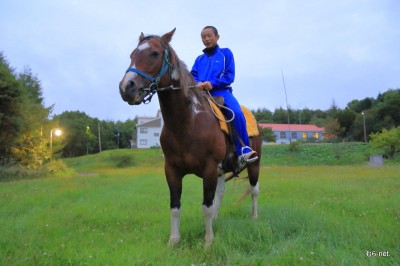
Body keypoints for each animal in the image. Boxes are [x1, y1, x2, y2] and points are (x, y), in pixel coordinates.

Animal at [119, 28, 262, 246]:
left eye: (154, 53)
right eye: (132, 55)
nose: (127, 87)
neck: (187, 124)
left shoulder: (209, 169)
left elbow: (206, 206)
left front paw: (208, 241)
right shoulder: (172, 170)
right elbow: (175, 207)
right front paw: (174, 241)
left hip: (254, 164)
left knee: (254, 191)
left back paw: (254, 217)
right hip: (222, 170)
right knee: (220, 193)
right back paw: (218, 219)